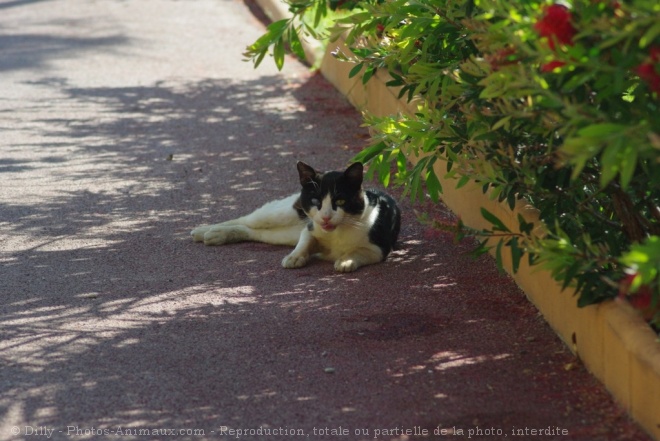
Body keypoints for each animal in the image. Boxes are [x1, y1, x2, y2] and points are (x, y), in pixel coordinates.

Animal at [188, 162, 400, 272]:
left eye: (340, 201)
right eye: (315, 200)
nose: (325, 217)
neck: (337, 233)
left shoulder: (378, 249)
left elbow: (357, 251)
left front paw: (346, 261)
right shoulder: (309, 229)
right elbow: (304, 243)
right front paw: (295, 257)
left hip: (282, 234)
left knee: (251, 231)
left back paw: (215, 235)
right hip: (278, 214)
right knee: (245, 220)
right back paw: (204, 231)